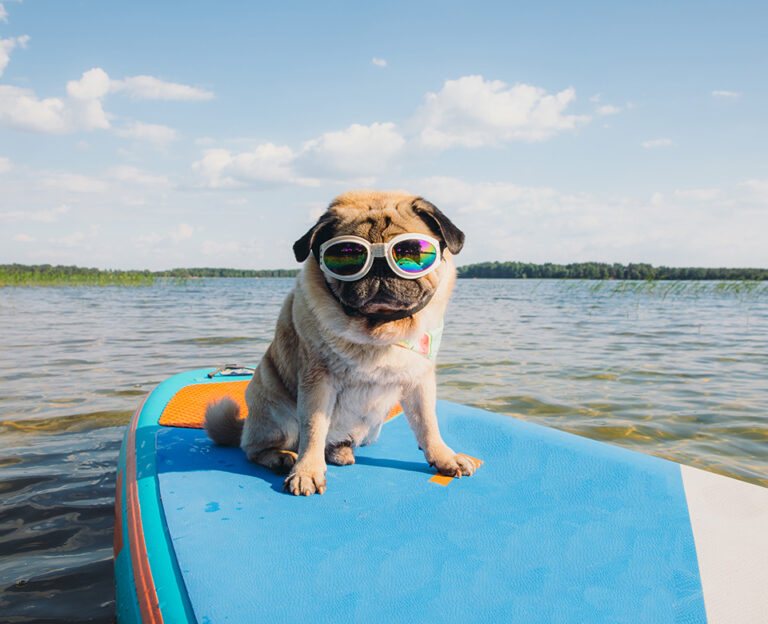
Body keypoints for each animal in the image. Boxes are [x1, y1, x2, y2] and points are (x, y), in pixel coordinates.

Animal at [206, 188, 480, 494]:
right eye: (347, 256)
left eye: (410, 251)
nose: (380, 266)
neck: (378, 332)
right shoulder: (317, 380)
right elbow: (313, 428)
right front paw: (307, 471)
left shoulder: (418, 380)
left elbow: (428, 424)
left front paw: (444, 458)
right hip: (276, 414)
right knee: (255, 449)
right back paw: (282, 457)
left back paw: (340, 451)